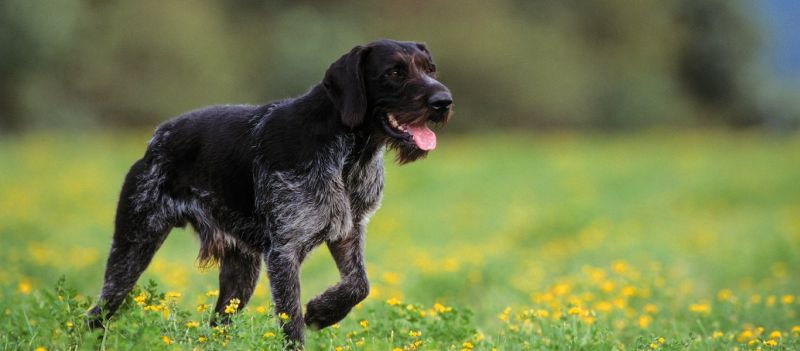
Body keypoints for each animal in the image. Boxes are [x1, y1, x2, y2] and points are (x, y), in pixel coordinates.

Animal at [88, 39, 454, 346]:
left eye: (431, 69)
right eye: (394, 72)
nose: (444, 101)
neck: (351, 154)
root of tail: (156, 138)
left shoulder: (348, 232)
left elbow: (359, 285)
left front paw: (323, 312)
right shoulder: (284, 252)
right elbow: (291, 322)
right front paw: (313, 317)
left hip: (240, 271)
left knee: (218, 323)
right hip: (134, 244)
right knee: (98, 311)